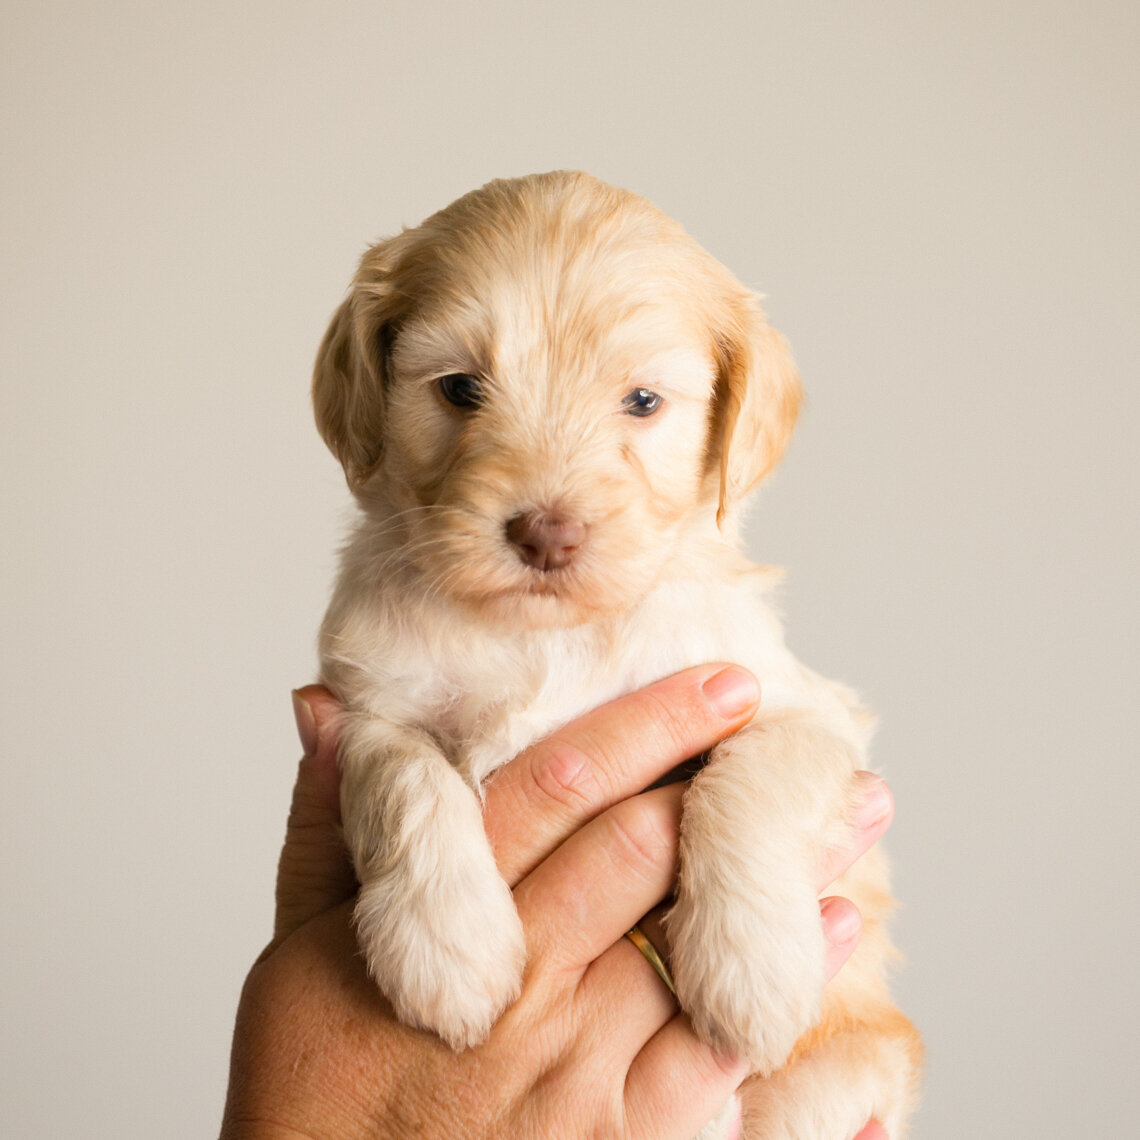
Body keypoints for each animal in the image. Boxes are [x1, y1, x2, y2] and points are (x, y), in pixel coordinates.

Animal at [312, 171, 916, 1140]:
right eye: (459, 388)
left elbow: (749, 780)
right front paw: (447, 948)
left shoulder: (792, 702)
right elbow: (400, 777)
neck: (548, 633)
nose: (545, 533)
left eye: (642, 402)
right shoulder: (365, 702)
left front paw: (753, 968)